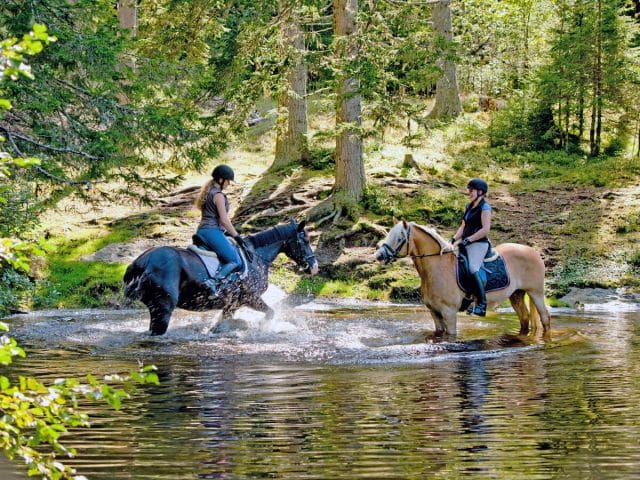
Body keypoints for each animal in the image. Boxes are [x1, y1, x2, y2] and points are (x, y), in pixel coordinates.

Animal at [122, 220, 318, 336]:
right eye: (306, 241)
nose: (315, 267)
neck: (256, 257)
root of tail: (143, 261)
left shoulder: (233, 305)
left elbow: (220, 323)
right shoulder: (250, 298)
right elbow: (270, 313)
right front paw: (262, 328)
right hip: (163, 308)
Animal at [376, 220, 552, 338]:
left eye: (399, 238)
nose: (378, 255)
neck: (437, 267)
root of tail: (533, 252)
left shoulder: (449, 312)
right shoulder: (435, 312)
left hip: (536, 292)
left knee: (545, 318)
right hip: (516, 294)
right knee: (524, 318)